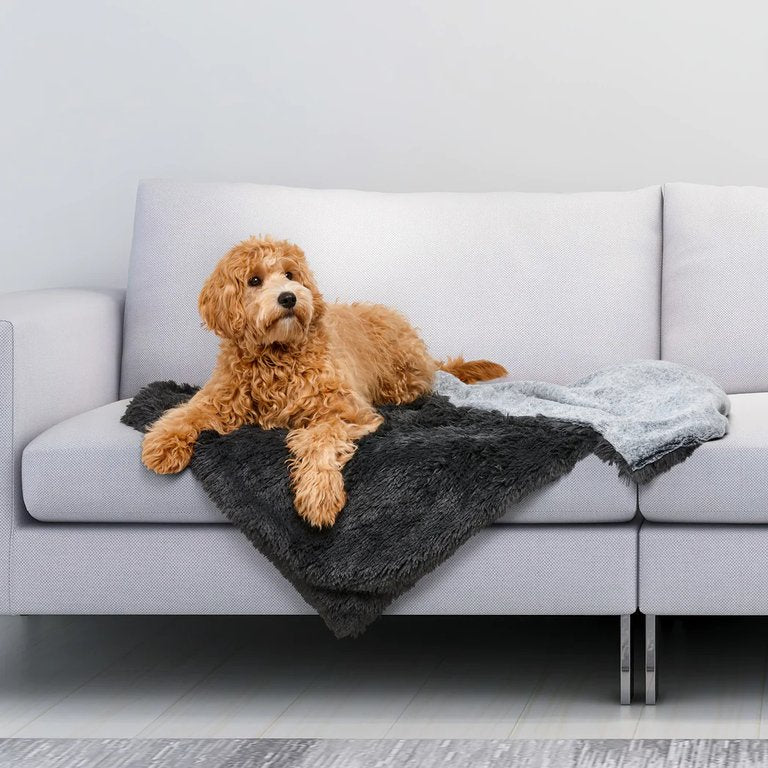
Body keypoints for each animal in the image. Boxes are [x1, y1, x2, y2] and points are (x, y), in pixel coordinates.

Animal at [141, 237, 508, 528]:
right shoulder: (219, 396)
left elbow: (320, 438)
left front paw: (319, 494)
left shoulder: (346, 411)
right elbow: (185, 412)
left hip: (400, 379)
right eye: (254, 280)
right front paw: (162, 443)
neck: (276, 357)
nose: (289, 298)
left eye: (290, 275)